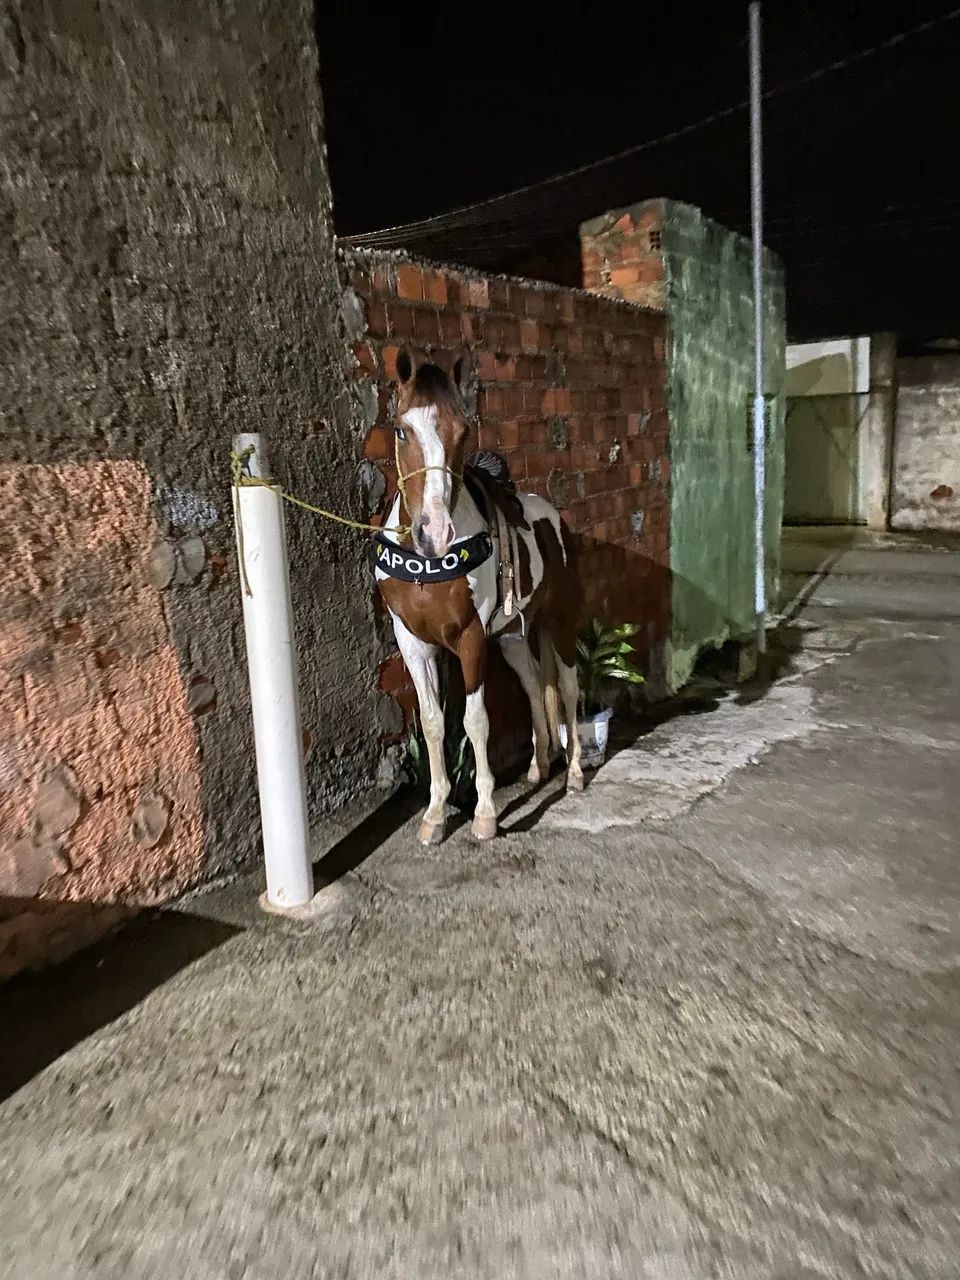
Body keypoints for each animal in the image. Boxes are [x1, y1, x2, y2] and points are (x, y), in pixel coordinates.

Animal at [374, 349, 583, 846]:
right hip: (511, 639)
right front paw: (434, 815)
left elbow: (474, 722)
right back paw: (538, 768)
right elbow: (433, 722)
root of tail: (554, 519)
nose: (434, 533)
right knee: (533, 685)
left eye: (463, 431)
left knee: (568, 687)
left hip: (561, 624)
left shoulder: (470, 640)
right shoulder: (413, 643)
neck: (425, 565)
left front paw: (485, 814)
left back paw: (575, 774)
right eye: (401, 429)